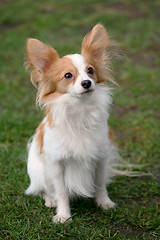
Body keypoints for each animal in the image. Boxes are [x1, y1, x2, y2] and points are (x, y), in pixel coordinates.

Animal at [25, 23, 120, 223]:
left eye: (90, 71)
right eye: (68, 75)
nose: (87, 83)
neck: (80, 111)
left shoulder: (101, 157)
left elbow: (100, 184)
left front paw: (104, 203)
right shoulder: (56, 164)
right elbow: (61, 192)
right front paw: (63, 215)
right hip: (38, 173)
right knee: (42, 190)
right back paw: (49, 200)